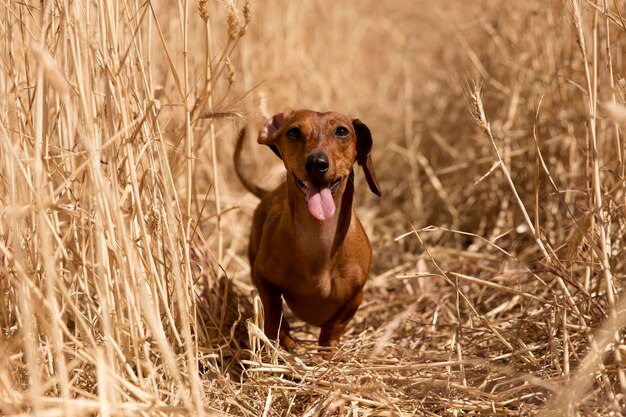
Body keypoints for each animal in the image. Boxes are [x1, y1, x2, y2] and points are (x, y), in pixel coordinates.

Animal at [234, 108, 380, 348]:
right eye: (293, 132)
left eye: (342, 131)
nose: (316, 163)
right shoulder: (263, 278)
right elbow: (274, 310)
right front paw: (282, 339)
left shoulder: (356, 295)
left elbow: (334, 325)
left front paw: (329, 347)